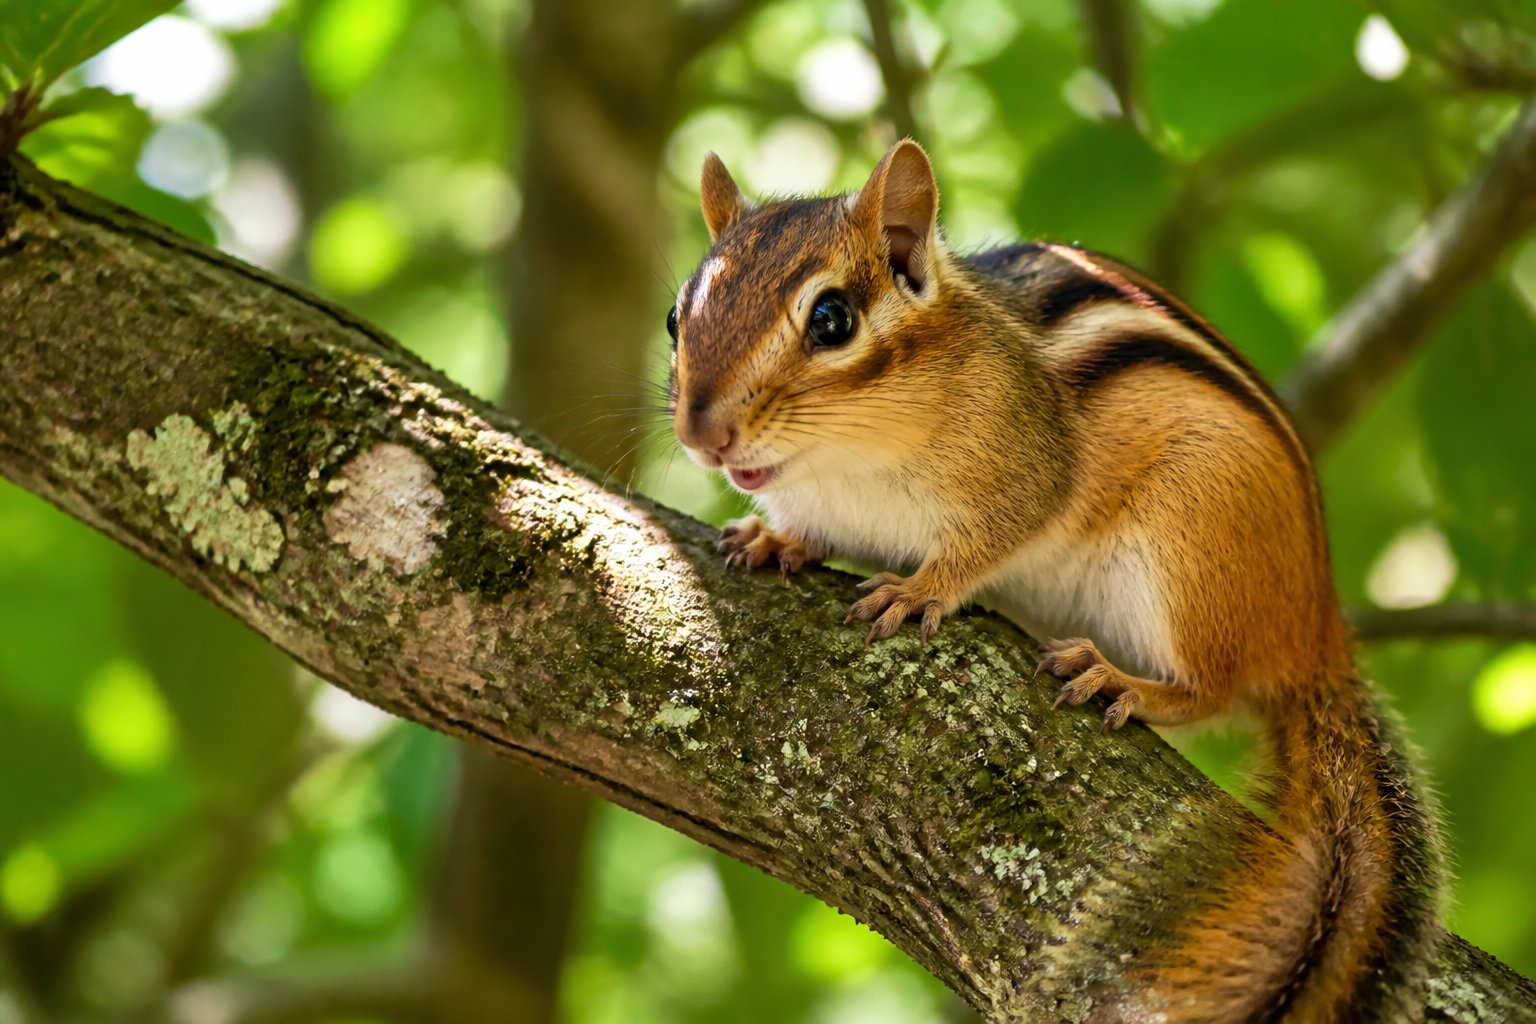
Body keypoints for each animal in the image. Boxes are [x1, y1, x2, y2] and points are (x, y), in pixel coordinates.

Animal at [667, 141, 1444, 1023]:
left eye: (832, 320)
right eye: (675, 320)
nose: (701, 434)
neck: (845, 460)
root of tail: (1317, 636)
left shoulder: (1029, 472)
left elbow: (991, 540)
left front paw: (921, 588)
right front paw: (774, 539)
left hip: (1186, 553)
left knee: (1212, 689)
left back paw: (1126, 681)